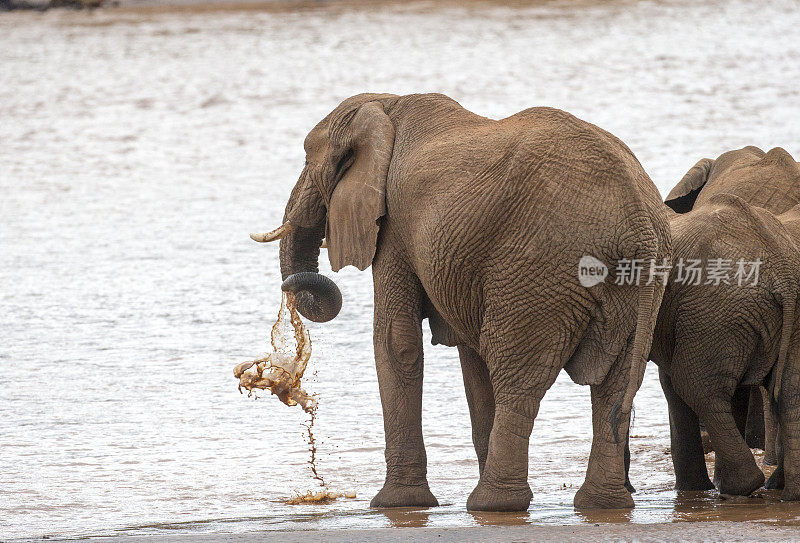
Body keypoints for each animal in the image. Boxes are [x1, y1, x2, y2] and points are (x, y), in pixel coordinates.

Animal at [253, 91, 672, 512]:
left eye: (309, 159)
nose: (291, 285)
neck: (386, 104)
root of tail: (639, 221)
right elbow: (470, 355)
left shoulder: (393, 225)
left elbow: (396, 341)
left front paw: (394, 504)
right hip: (632, 288)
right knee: (614, 384)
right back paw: (603, 505)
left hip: (538, 270)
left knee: (515, 374)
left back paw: (492, 505)